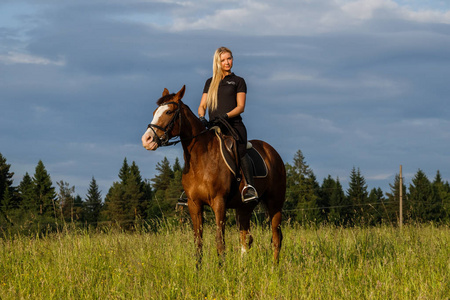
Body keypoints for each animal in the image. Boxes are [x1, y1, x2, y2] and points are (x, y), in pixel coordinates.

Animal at [142, 85, 286, 264]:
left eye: (168, 112)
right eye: (155, 111)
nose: (147, 140)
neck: (201, 159)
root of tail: (272, 152)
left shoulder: (219, 202)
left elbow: (220, 241)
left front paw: (221, 269)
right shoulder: (194, 204)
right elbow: (198, 241)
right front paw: (198, 269)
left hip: (275, 203)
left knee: (276, 238)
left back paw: (274, 267)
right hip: (244, 207)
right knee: (246, 239)